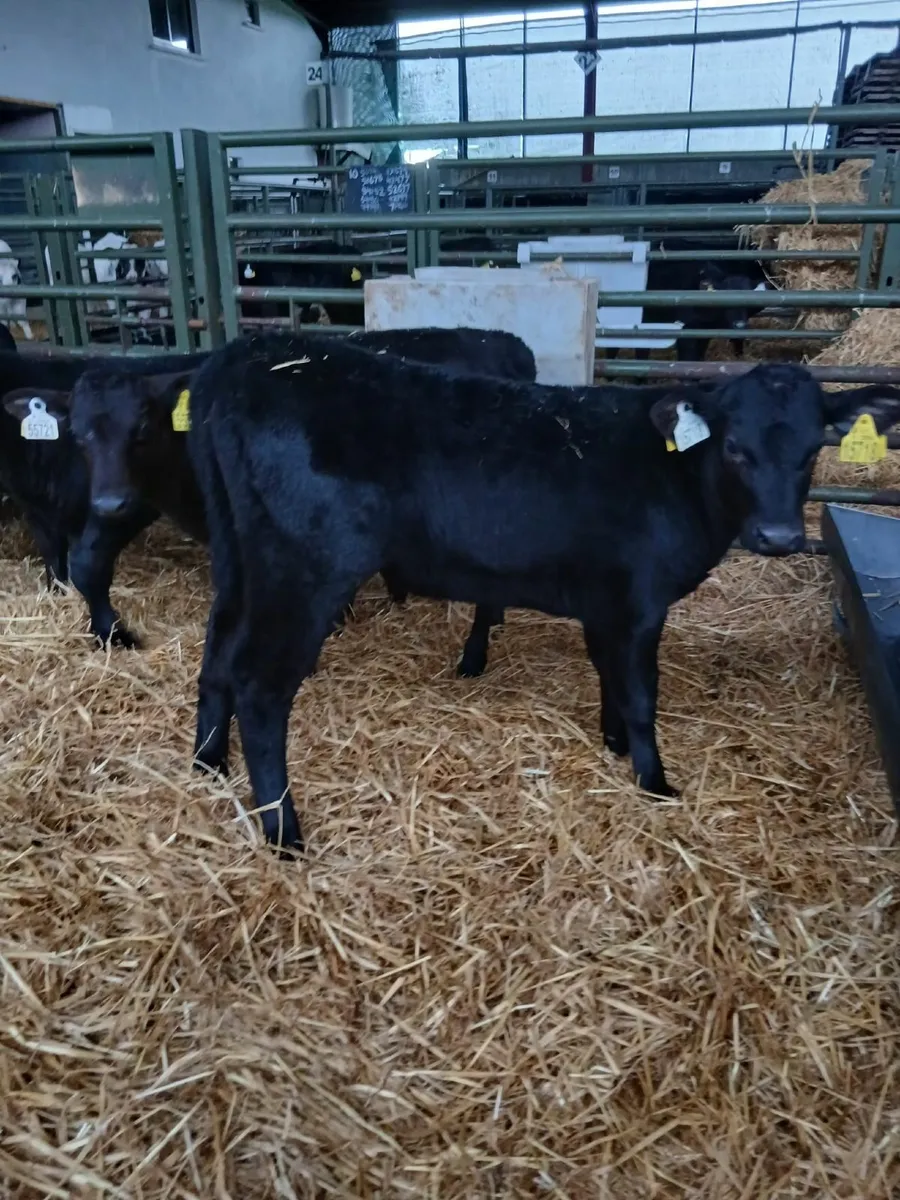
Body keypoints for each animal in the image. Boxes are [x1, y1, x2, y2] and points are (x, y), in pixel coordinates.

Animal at [181, 334, 900, 854]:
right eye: (735, 448)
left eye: (813, 448)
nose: (780, 536)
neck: (675, 473)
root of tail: (249, 354)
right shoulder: (641, 600)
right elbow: (642, 695)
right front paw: (655, 782)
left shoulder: (608, 600)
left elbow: (610, 675)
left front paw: (614, 744)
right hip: (304, 569)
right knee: (260, 686)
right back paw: (284, 832)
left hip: (239, 556)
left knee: (218, 651)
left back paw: (208, 762)